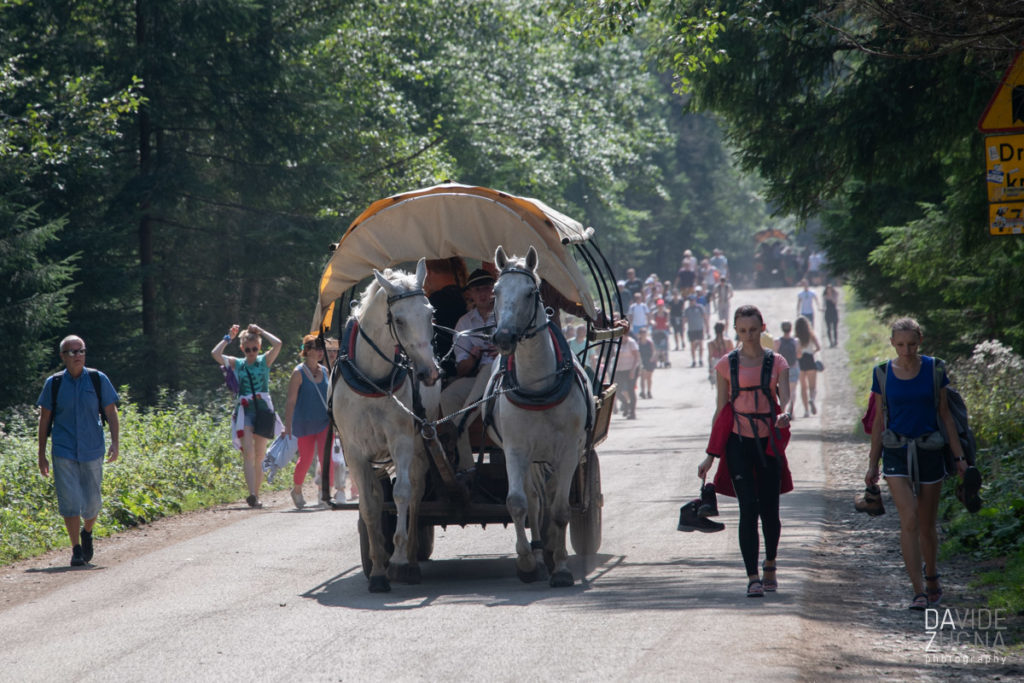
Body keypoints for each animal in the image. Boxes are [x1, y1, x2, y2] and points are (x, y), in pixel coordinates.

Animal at [329, 259, 438, 589]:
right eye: (398, 320)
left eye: (430, 314)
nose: (430, 372)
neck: (373, 379)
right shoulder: (354, 451)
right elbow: (368, 504)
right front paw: (378, 568)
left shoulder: (401, 439)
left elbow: (402, 493)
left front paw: (399, 559)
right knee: (378, 497)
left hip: (419, 447)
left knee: (415, 492)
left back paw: (411, 557)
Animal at [487, 245, 593, 589]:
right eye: (496, 291)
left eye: (530, 292)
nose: (504, 337)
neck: (538, 385)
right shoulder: (515, 449)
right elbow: (517, 502)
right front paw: (526, 563)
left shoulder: (570, 450)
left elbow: (560, 510)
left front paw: (560, 567)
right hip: (531, 456)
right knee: (534, 499)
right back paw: (537, 547)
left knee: (552, 497)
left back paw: (549, 548)